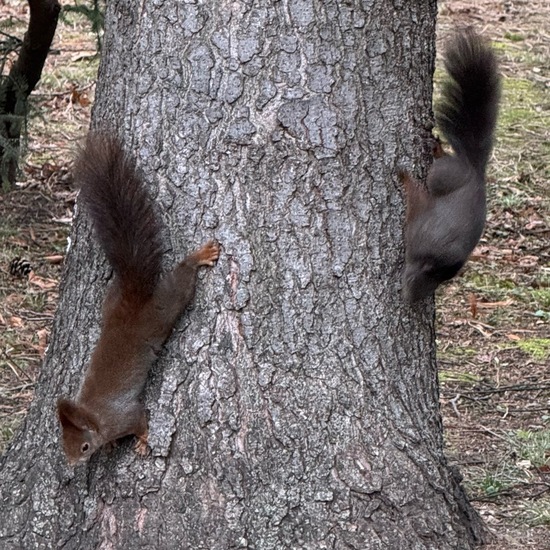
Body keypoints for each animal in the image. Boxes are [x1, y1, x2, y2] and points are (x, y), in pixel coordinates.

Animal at [56, 134, 220, 466]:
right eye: (64, 444)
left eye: (83, 447)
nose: (72, 463)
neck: (95, 418)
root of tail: (133, 297)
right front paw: (109, 447)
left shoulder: (124, 417)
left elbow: (141, 420)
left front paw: (143, 441)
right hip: (111, 300)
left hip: (162, 309)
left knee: (181, 283)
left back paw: (198, 257)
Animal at [402, 28, 504, 304]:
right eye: (414, 282)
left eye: (425, 287)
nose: (408, 299)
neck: (431, 260)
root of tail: (474, 169)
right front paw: (403, 175)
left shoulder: (419, 227)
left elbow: (415, 198)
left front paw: (402, 176)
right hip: (443, 175)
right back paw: (436, 148)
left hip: (440, 176)